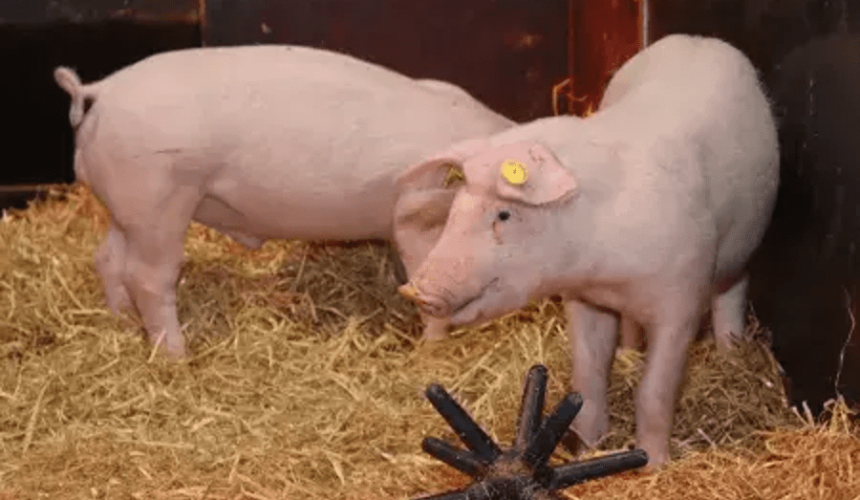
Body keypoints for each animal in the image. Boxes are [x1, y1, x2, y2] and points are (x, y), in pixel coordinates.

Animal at [54, 44, 514, 357]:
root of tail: (100, 93)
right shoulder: (416, 210)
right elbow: (426, 279)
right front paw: (432, 350)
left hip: (128, 208)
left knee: (107, 259)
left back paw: (122, 322)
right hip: (160, 199)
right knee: (148, 277)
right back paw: (177, 356)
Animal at [397, 34, 779, 468]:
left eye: (504, 213)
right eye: (457, 204)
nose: (415, 289)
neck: (606, 272)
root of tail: (698, 40)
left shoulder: (682, 296)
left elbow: (656, 390)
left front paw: (653, 465)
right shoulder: (584, 300)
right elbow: (589, 377)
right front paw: (588, 450)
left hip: (740, 248)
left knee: (734, 286)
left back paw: (730, 353)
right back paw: (631, 351)